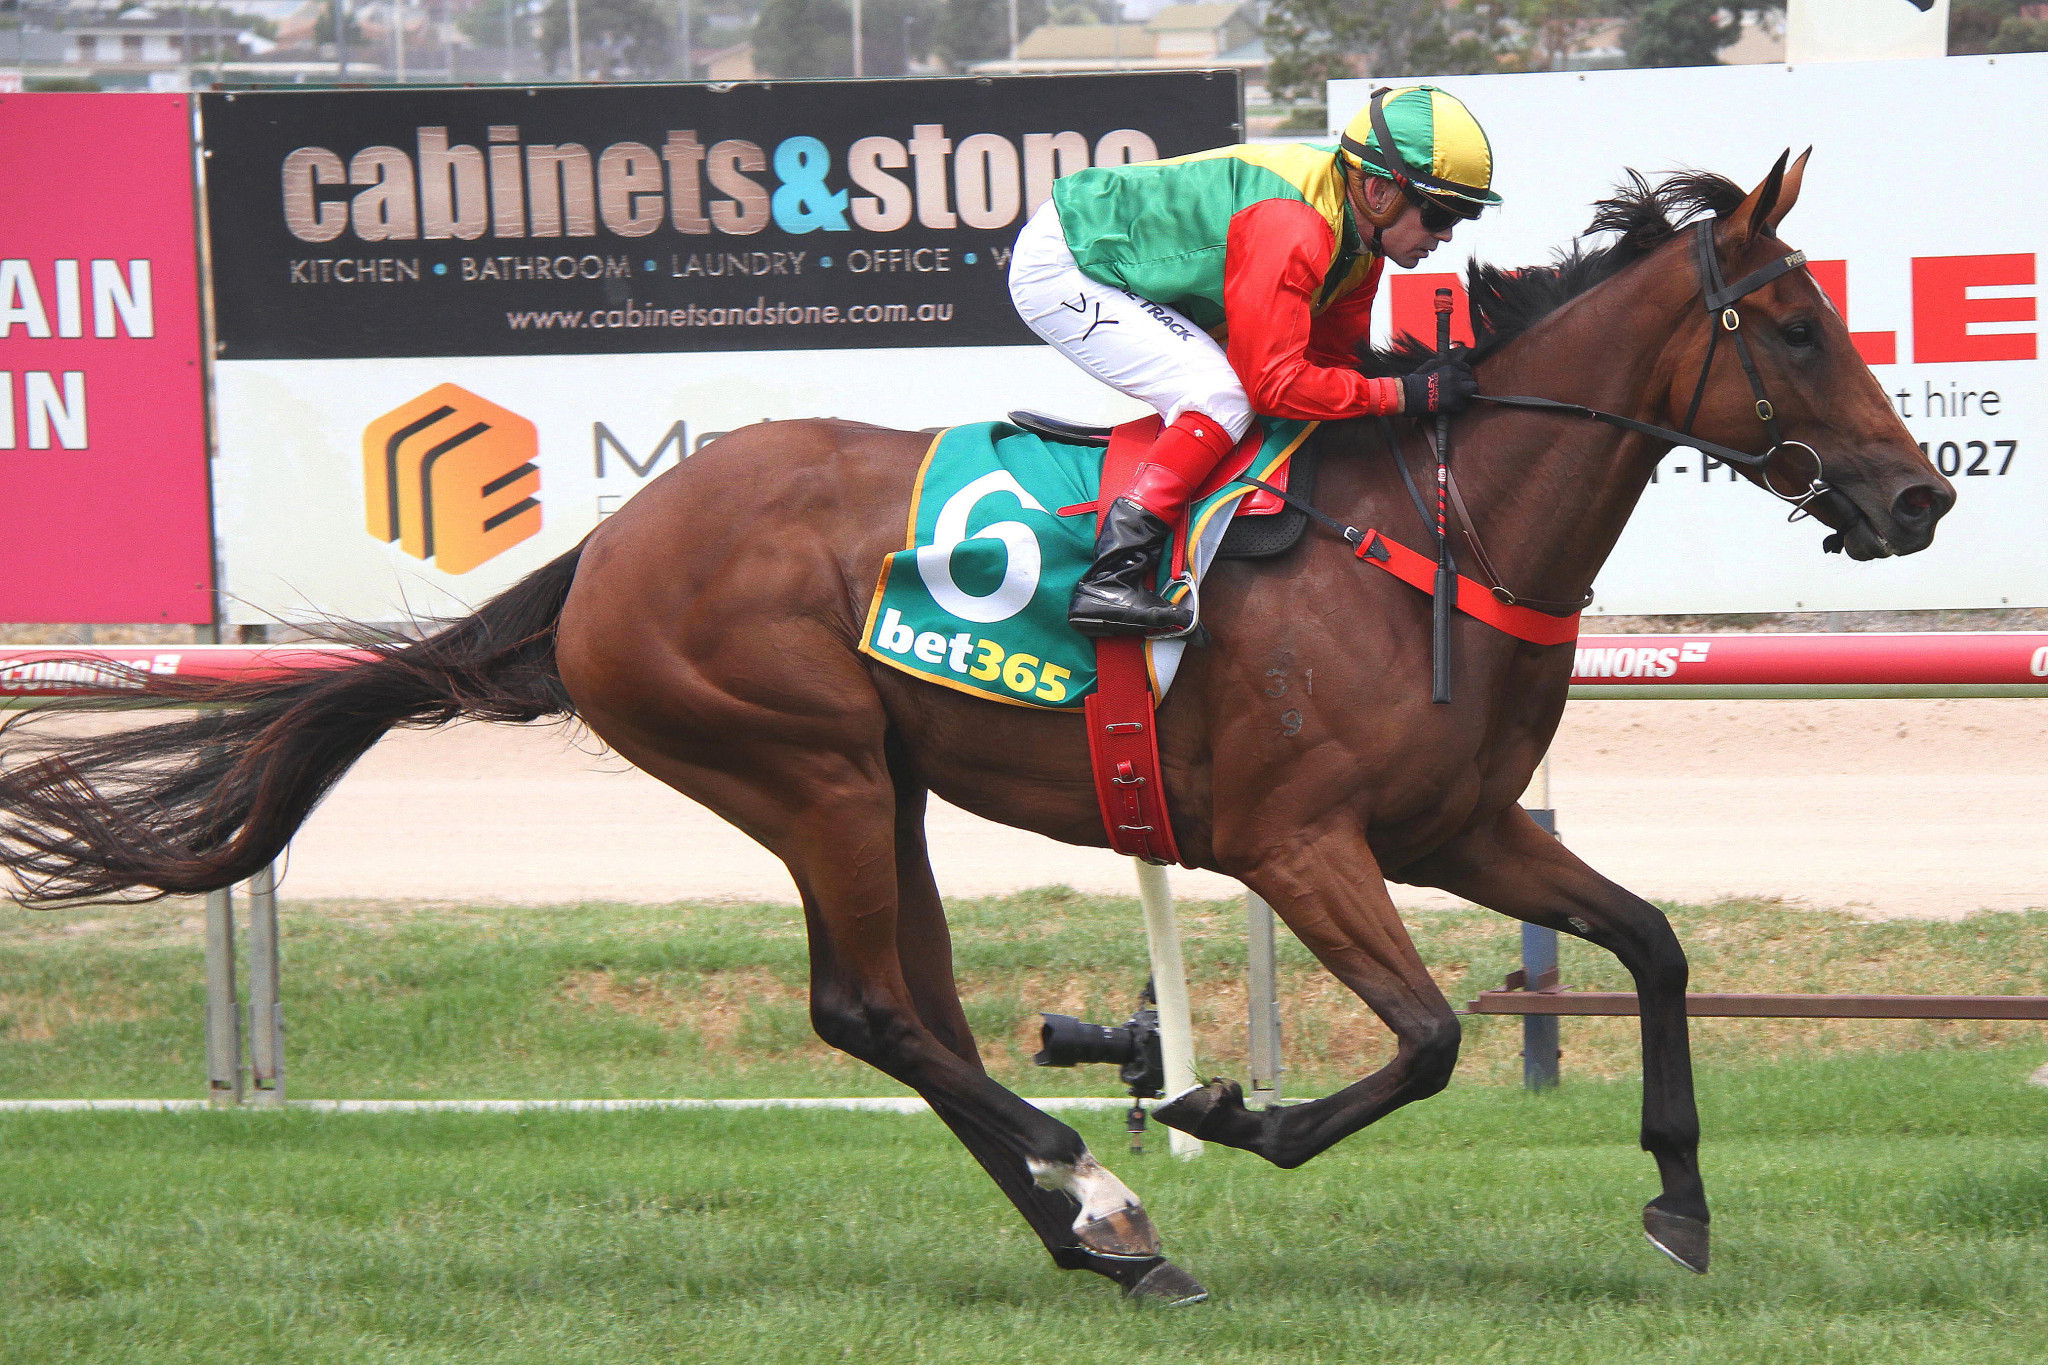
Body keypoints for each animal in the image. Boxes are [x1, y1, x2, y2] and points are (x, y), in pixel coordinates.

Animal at [0, 152, 1949, 1301]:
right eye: (1790, 322)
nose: (1920, 496)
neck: (1430, 529)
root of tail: (612, 544)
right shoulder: (1296, 843)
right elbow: (1425, 1041)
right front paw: (1218, 1103)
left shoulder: (1461, 830)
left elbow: (1655, 945)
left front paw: (1680, 1204)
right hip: (801, 765)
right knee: (870, 1009)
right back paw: (1098, 1191)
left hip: (882, 789)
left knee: (908, 1012)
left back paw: (1100, 1230)